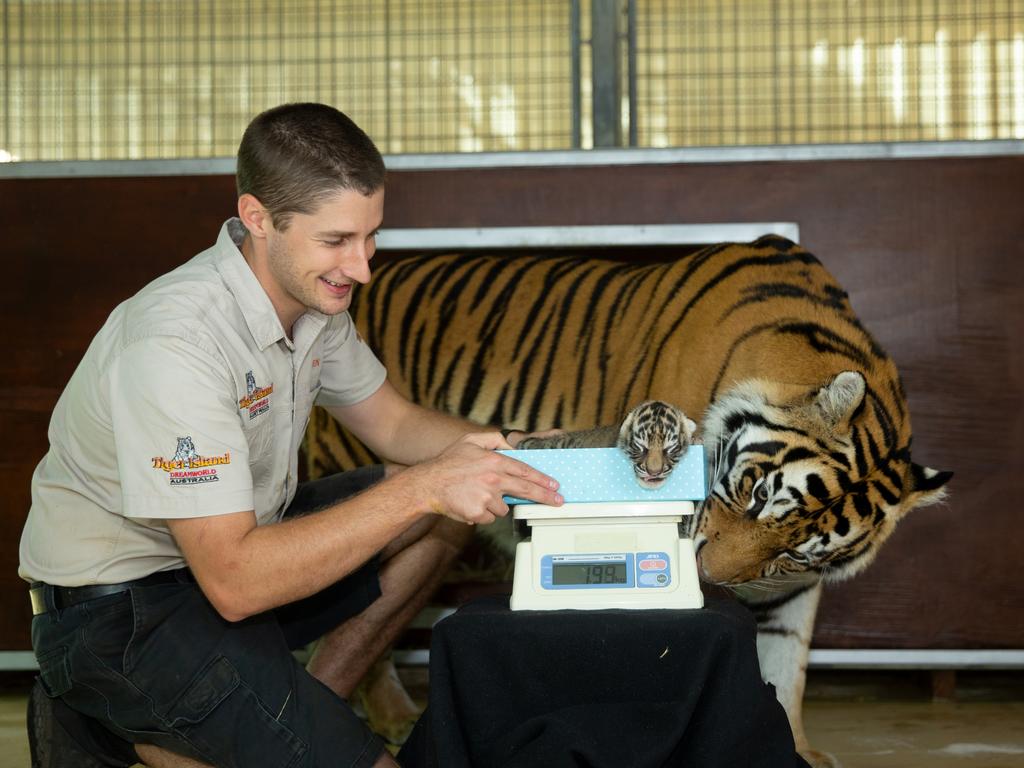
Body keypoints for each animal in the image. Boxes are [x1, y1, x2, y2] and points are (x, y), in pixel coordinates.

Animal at [303, 236, 950, 768]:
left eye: (795, 553)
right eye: (757, 494)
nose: (710, 574)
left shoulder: (793, 588)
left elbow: (786, 656)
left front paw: (796, 747)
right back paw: (387, 712)